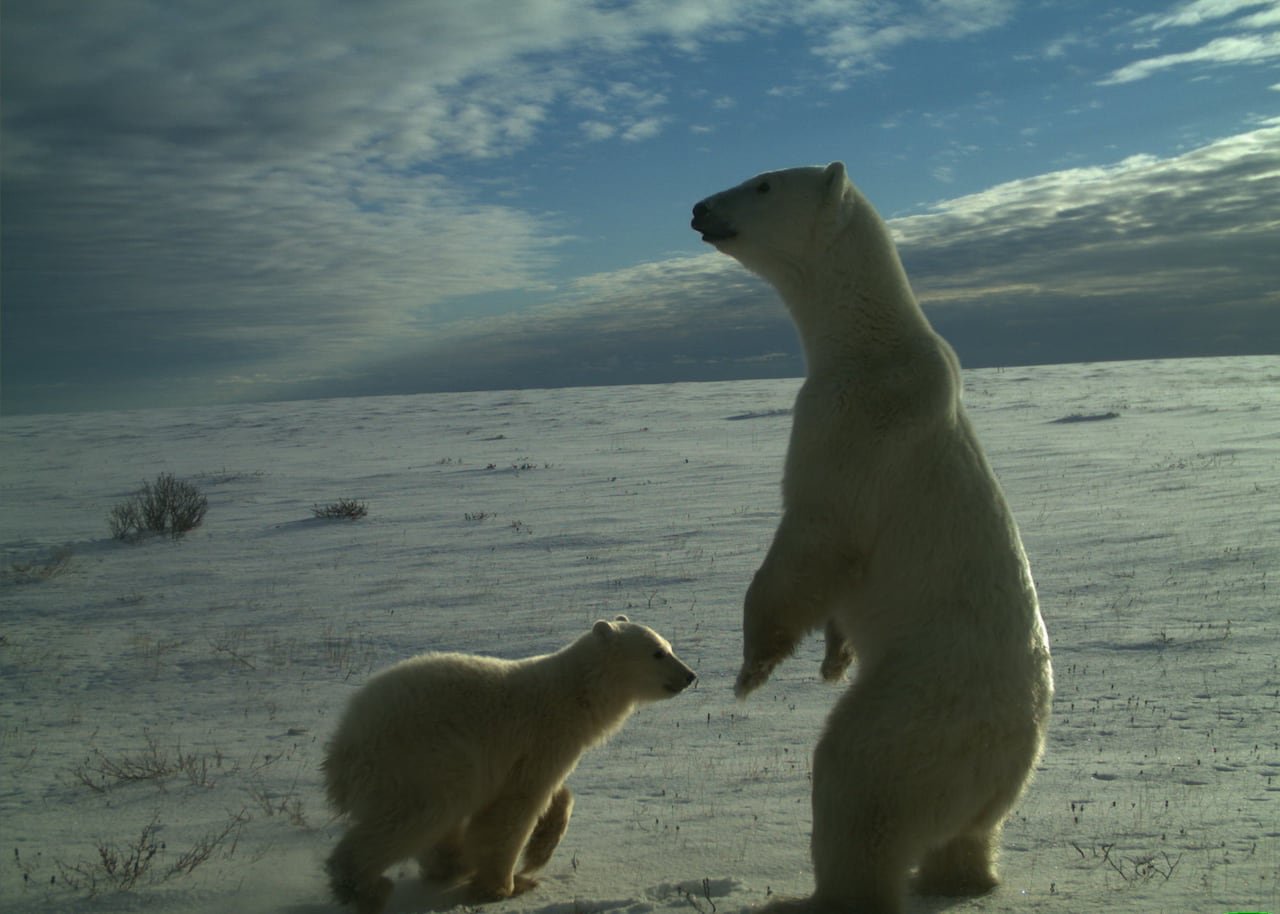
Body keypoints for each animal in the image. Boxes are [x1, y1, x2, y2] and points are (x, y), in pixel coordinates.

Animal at [321, 615, 696, 914]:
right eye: (658, 652)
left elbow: (555, 794)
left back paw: (449, 863)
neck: (575, 694)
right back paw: (364, 888)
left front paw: (539, 852)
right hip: (422, 757)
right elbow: (513, 808)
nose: (691, 675)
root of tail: (344, 747)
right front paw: (504, 886)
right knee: (419, 814)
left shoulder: (543, 749)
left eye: (669, 645)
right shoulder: (541, 737)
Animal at [691, 163, 1053, 914]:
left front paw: (751, 669)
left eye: (762, 183)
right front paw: (833, 657)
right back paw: (962, 876)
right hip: (984, 769)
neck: (870, 342)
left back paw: (815, 895)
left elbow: (816, 536)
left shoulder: (848, 420)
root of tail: (1007, 755)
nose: (698, 209)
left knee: (857, 782)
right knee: (967, 832)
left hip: (922, 708)